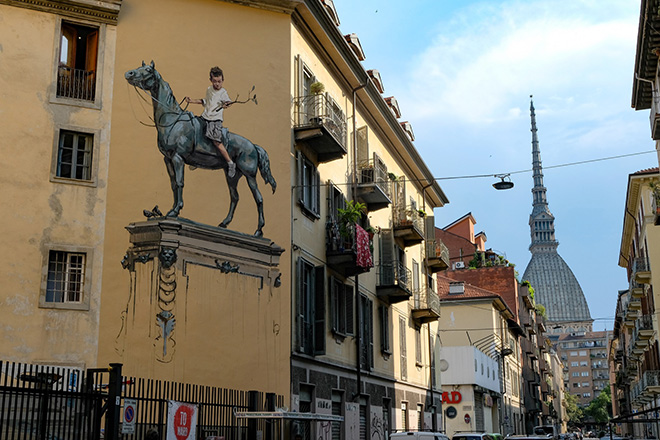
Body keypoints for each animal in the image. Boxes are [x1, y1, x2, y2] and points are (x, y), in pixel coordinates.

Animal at [124, 61, 276, 237]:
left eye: (148, 70)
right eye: (140, 68)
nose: (129, 74)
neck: (172, 120)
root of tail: (254, 146)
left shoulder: (178, 158)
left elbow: (180, 182)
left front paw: (176, 211)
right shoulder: (168, 159)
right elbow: (173, 184)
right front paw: (171, 210)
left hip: (249, 175)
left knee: (259, 198)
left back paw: (258, 231)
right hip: (232, 175)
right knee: (235, 197)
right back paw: (224, 223)